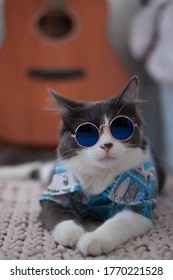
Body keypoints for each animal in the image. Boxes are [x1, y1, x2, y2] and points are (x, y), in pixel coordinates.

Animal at [38, 76, 164, 256]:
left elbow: (118, 221)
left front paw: (93, 239)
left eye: (120, 127)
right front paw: (71, 232)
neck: (99, 176)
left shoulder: (140, 206)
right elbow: (57, 214)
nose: (106, 145)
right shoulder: (54, 195)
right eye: (87, 132)